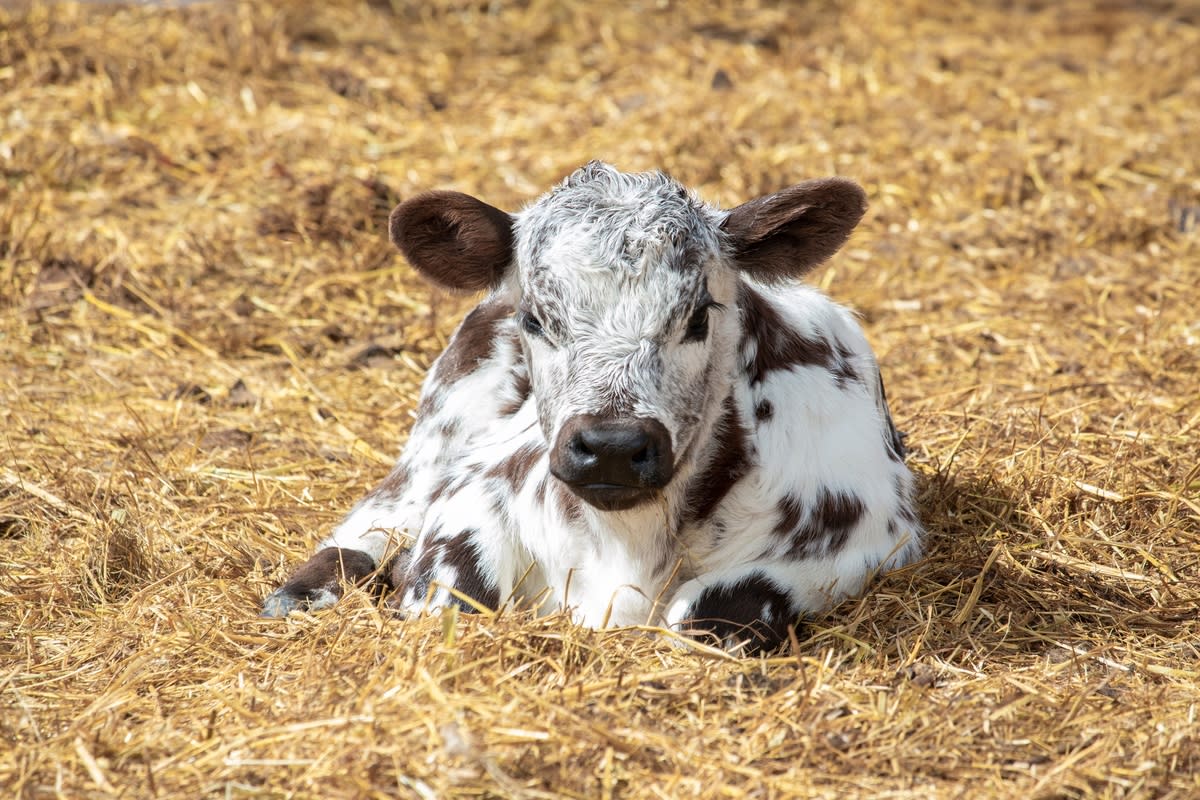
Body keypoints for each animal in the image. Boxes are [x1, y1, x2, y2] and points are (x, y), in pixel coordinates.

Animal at [260, 160, 916, 652]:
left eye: (698, 316)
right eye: (535, 318)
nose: (613, 448)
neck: (629, 544)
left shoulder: (870, 536)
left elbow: (710, 615)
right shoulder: (468, 496)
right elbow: (443, 596)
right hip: (434, 439)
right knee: (374, 518)